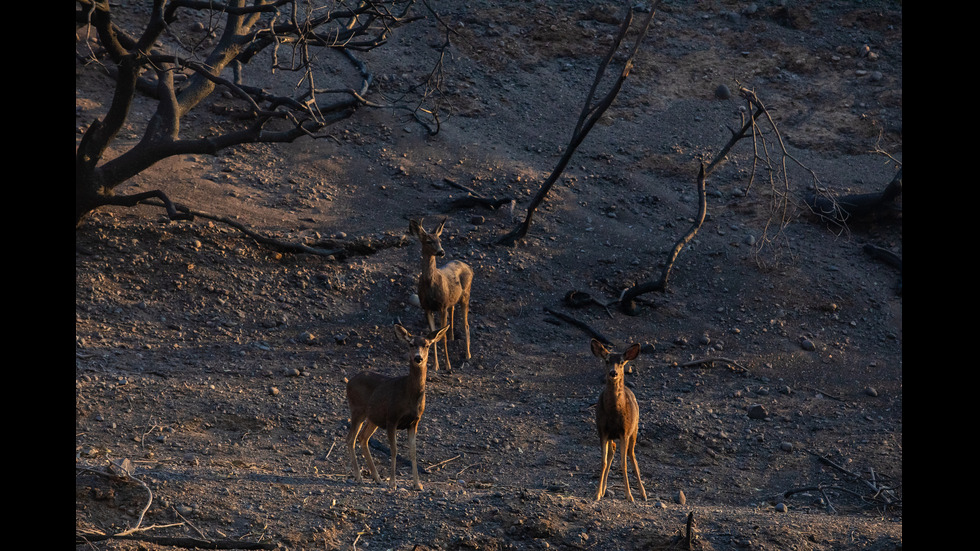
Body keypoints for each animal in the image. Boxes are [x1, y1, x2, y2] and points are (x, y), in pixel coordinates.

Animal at [346, 324, 450, 492]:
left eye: (427, 345)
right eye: (411, 344)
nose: (418, 358)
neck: (409, 395)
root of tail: (349, 382)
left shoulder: (414, 422)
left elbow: (413, 452)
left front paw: (417, 484)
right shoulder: (392, 418)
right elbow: (394, 450)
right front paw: (393, 483)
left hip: (373, 417)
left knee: (363, 437)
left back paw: (377, 478)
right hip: (357, 410)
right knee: (350, 439)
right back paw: (359, 477)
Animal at [408, 218, 472, 374]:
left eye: (440, 240)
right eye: (428, 241)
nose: (441, 252)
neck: (430, 284)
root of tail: (469, 267)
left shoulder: (442, 306)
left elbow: (440, 338)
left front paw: (448, 365)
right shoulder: (427, 308)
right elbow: (432, 336)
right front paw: (435, 365)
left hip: (466, 295)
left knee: (466, 324)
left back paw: (468, 355)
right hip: (453, 299)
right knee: (453, 310)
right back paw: (452, 336)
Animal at [592, 338, 648, 502]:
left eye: (622, 362)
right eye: (607, 360)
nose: (613, 372)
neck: (614, 413)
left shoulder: (624, 431)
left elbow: (623, 463)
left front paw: (629, 495)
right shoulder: (602, 431)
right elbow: (603, 462)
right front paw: (597, 493)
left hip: (634, 430)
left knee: (632, 455)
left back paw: (643, 493)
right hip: (613, 435)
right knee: (612, 451)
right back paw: (603, 490)